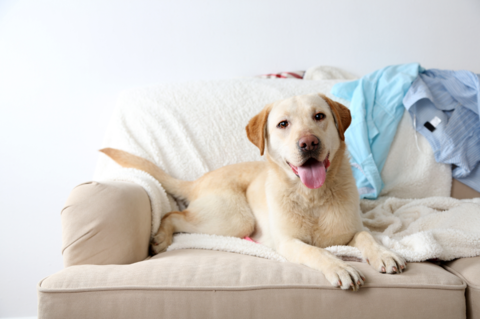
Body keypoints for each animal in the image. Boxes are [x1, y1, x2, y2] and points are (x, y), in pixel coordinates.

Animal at [101, 94, 404, 292]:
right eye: (283, 124)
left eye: (319, 116)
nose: (308, 143)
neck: (312, 196)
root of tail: (198, 180)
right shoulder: (288, 242)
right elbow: (317, 252)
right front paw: (340, 267)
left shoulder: (354, 230)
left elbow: (367, 237)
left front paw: (384, 254)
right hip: (235, 220)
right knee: (173, 214)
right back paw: (161, 237)